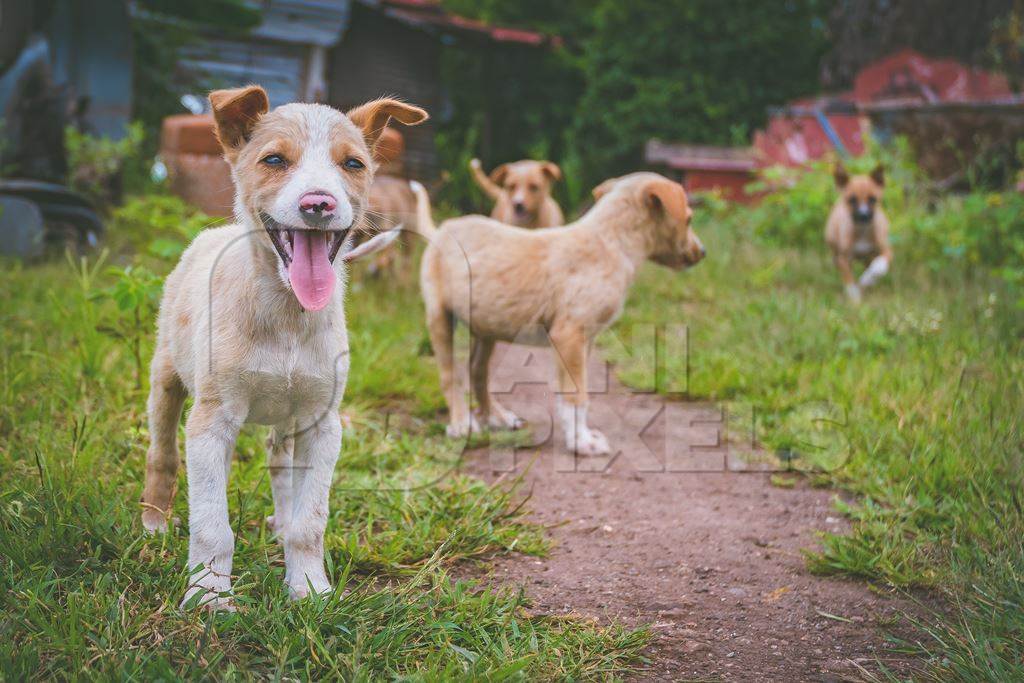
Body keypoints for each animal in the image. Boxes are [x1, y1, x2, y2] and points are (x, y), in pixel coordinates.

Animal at [138, 83, 425, 610]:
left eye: (353, 164)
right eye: (274, 159)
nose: (319, 204)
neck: (287, 315)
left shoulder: (322, 424)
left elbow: (310, 522)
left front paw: (308, 587)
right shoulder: (211, 421)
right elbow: (212, 525)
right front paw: (208, 596)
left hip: (287, 417)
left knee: (279, 462)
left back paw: (279, 521)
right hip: (166, 381)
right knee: (162, 453)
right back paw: (154, 522)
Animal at [407, 174, 704, 456]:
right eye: (689, 219)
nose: (702, 252)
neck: (612, 242)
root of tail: (441, 230)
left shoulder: (582, 341)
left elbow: (568, 396)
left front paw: (577, 434)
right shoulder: (569, 335)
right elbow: (577, 396)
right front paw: (582, 443)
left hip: (486, 327)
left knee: (477, 371)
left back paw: (497, 417)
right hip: (440, 317)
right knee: (451, 375)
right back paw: (461, 423)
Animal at [827, 162, 892, 301]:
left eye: (873, 199)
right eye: (852, 200)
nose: (864, 216)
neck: (862, 231)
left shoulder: (886, 249)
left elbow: (879, 266)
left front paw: (868, 279)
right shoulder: (844, 258)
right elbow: (848, 279)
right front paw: (854, 297)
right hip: (833, 242)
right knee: (836, 259)